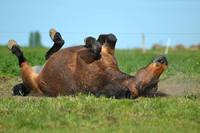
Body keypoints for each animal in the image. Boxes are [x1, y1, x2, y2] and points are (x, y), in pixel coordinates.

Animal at [8, 28, 167, 98]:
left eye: (154, 85)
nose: (164, 60)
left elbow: (96, 49)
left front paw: (90, 40)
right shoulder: (108, 52)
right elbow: (111, 38)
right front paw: (98, 38)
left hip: (29, 76)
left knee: (23, 61)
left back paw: (14, 46)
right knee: (50, 53)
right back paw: (56, 35)